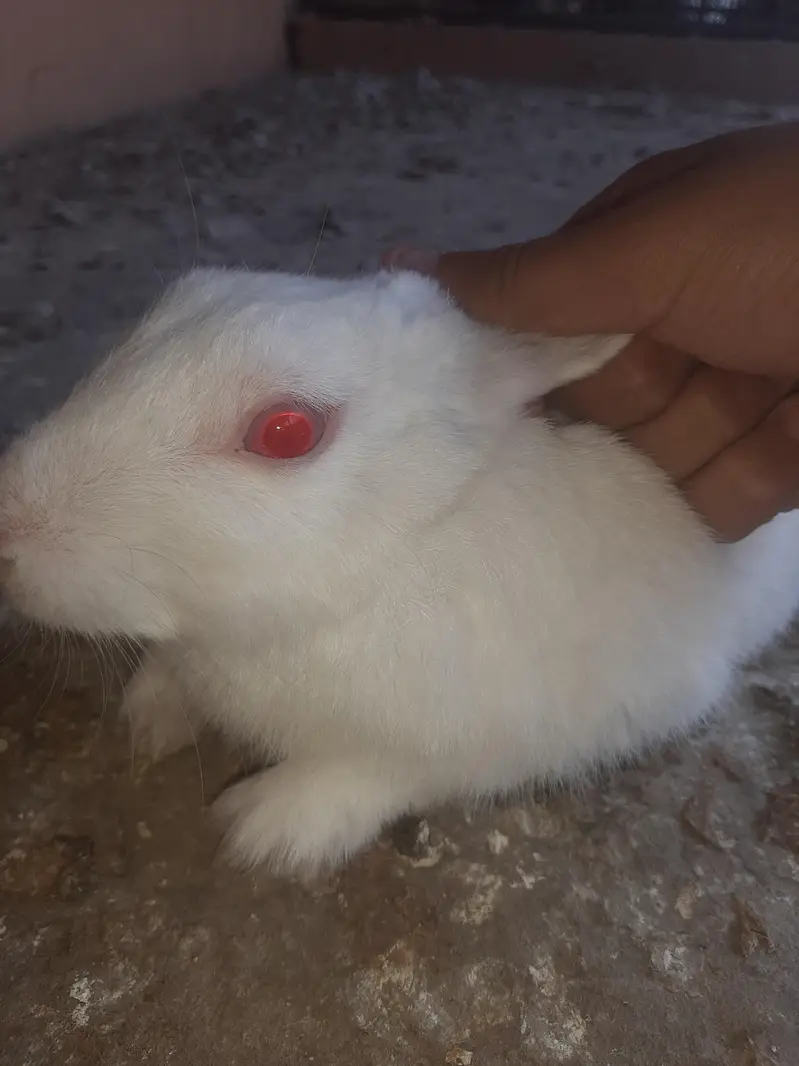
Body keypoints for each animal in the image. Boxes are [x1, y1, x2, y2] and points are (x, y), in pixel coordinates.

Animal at [1, 265, 799, 878]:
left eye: (286, 432)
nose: (7, 532)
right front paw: (150, 719)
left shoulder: (499, 734)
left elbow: (375, 774)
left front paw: (263, 830)